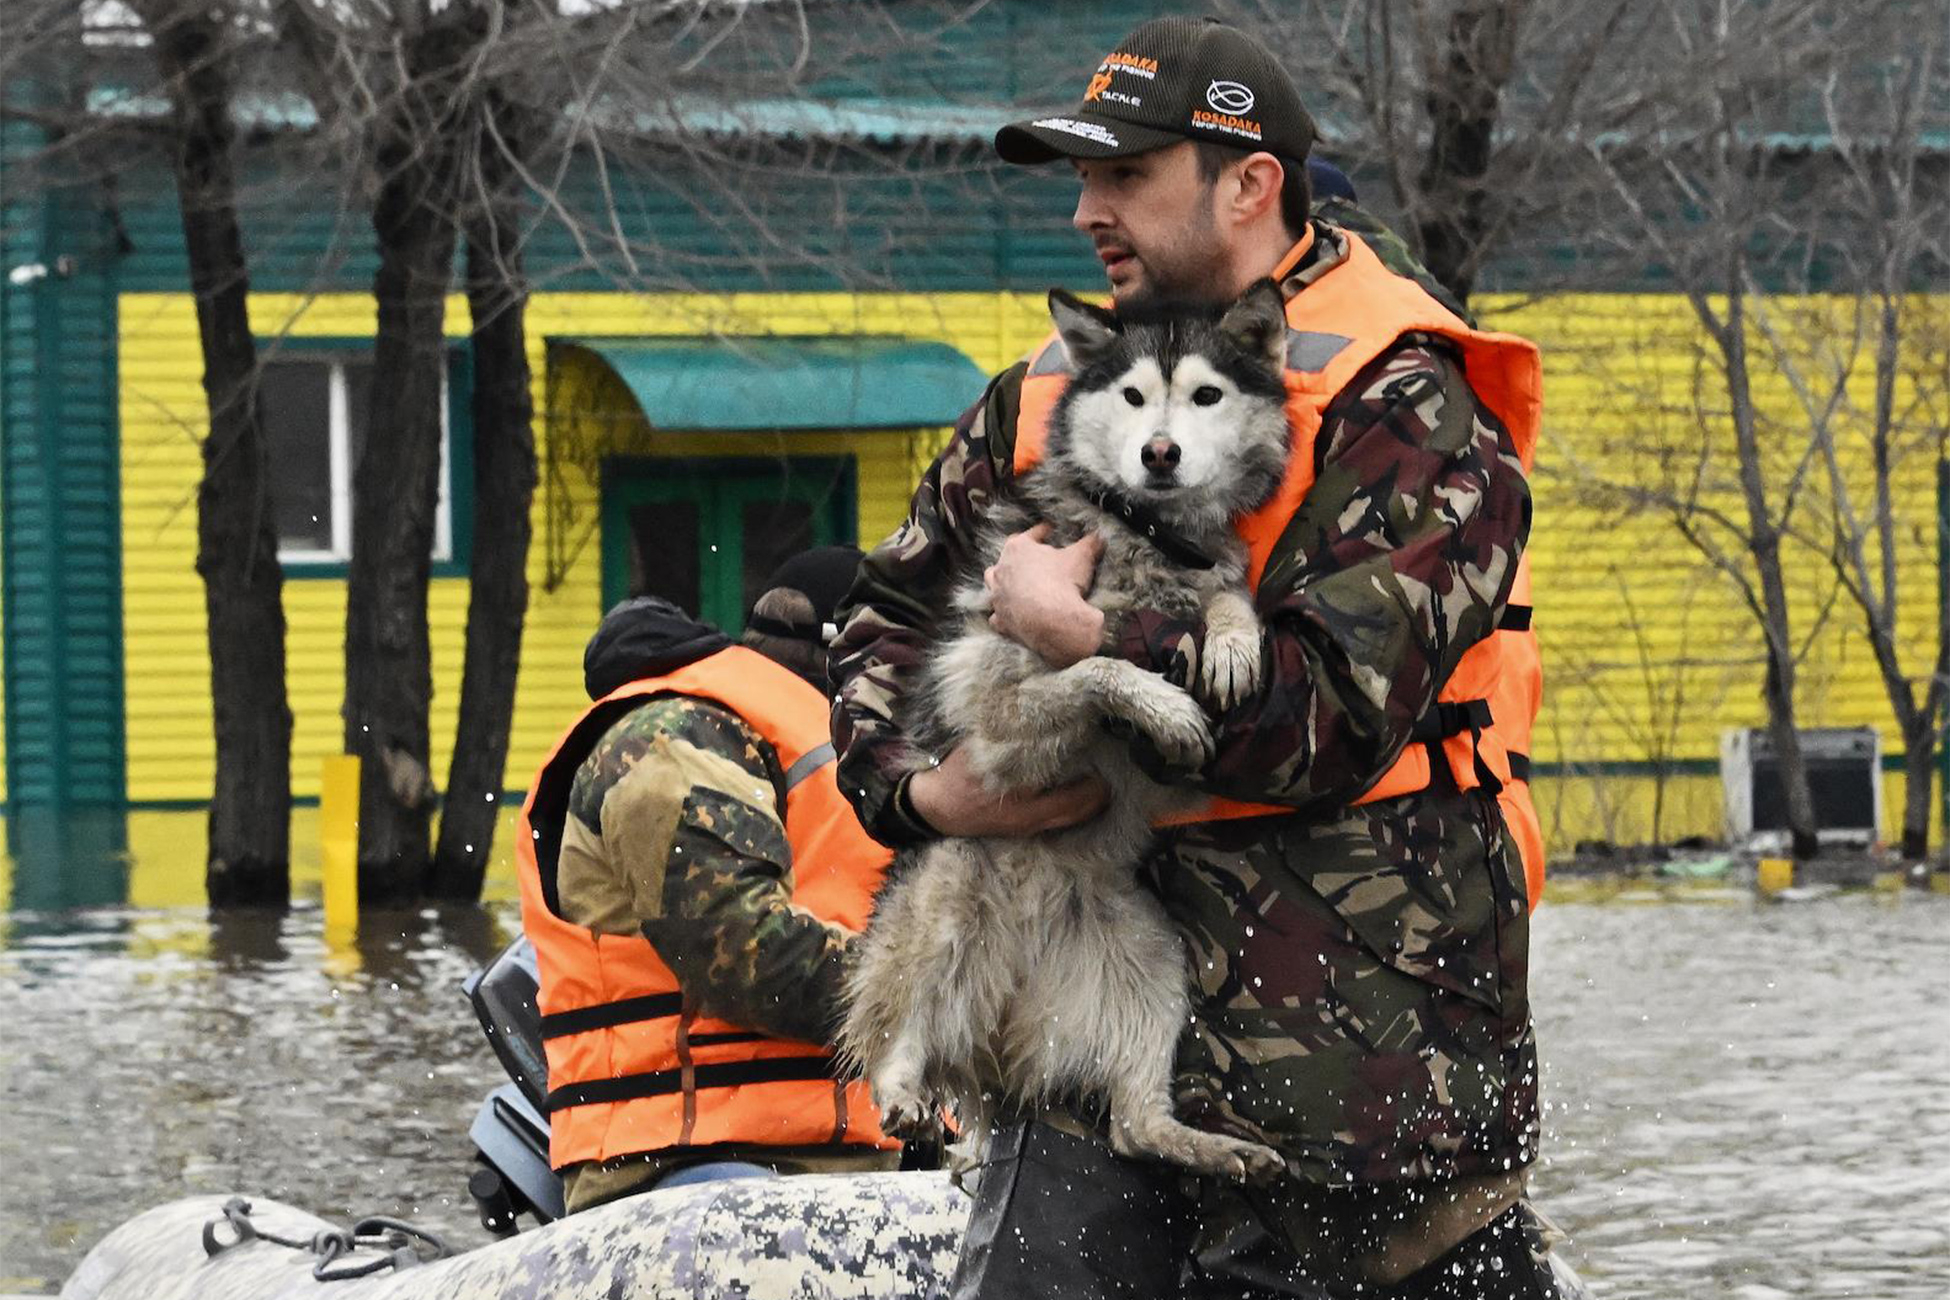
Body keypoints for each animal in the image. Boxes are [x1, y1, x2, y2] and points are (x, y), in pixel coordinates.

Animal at [838, 280, 1294, 1185]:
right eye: (1132, 397)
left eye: (1206, 395)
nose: (1160, 454)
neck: (1145, 538)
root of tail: (1007, 1022)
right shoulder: (997, 711)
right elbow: (1097, 668)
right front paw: (1164, 704)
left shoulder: (1205, 575)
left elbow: (1226, 595)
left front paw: (1230, 644)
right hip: (946, 886)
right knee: (896, 1035)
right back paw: (902, 1088)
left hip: (1156, 960)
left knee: (1134, 1125)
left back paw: (1217, 1148)